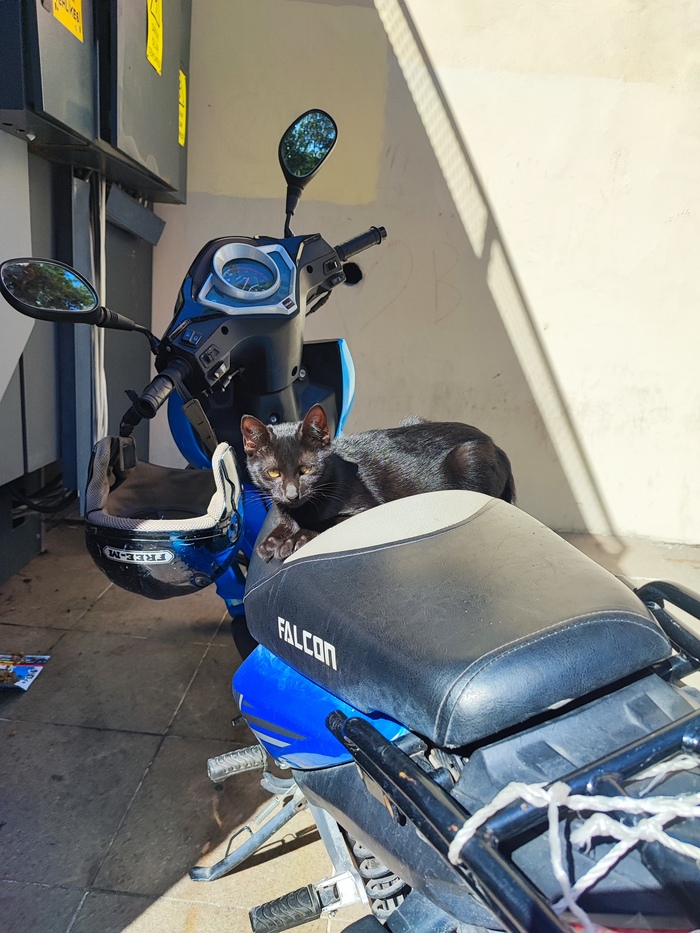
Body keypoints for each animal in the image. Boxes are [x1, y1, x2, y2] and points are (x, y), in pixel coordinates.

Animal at [241, 405, 516, 561]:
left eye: (306, 470)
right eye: (273, 473)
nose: (291, 495)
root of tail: (497, 446)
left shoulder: (369, 509)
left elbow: (327, 522)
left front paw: (293, 540)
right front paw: (272, 540)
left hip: (469, 457)